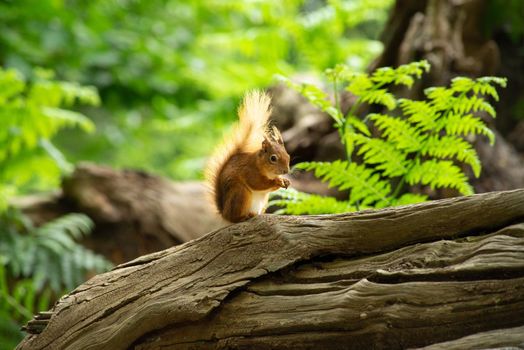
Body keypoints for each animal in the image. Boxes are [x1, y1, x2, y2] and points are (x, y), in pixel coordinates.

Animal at [206, 91, 290, 223]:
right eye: (273, 158)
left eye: (288, 155)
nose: (286, 171)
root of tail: (224, 213)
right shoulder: (249, 171)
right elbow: (258, 183)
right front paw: (277, 181)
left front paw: (285, 181)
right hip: (240, 192)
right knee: (234, 217)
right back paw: (244, 216)